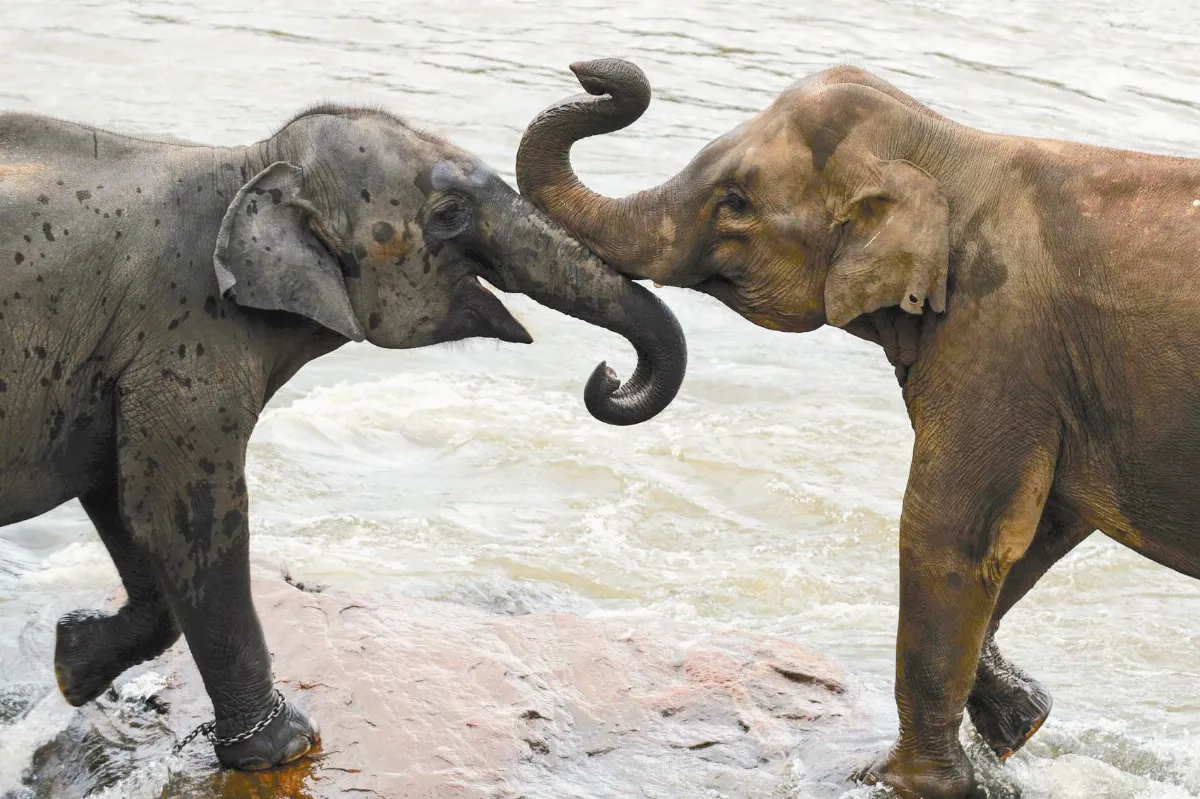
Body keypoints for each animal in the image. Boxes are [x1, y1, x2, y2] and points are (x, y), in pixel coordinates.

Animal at [0, 102, 687, 770]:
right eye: (451, 215)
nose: (605, 375)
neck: (249, 166)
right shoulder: (185, 336)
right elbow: (186, 514)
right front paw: (285, 747)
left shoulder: (121, 363)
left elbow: (121, 497)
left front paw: (73, 664)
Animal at [515, 58, 1200, 799]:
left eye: (736, 202)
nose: (590, 72)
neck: (948, 144)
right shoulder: (1060, 383)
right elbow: (1037, 529)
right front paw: (1020, 722)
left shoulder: (999, 340)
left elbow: (950, 533)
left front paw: (893, 777)